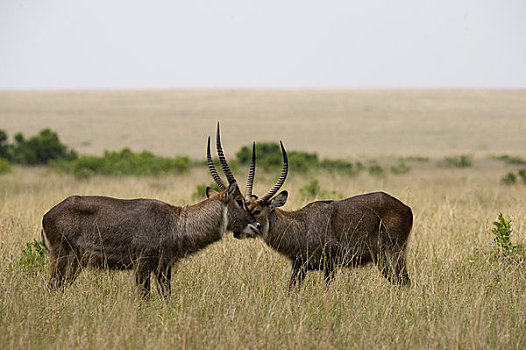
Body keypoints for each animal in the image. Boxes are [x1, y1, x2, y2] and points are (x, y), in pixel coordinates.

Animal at [42, 131, 260, 298]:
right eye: (239, 201)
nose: (256, 226)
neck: (176, 222)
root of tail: (47, 215)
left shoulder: (164, 268)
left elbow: (167, 295)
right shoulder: (143, 265)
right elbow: (144, 297)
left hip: (74, 264)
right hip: (62, 259)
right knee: (52, 288)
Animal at [208, 138, 414, 288]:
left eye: (257, 210)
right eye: (243, 206)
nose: (238, 232)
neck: (300, 225)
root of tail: (406, 208)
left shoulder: (330, 265)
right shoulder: (299, 267)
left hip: (395, 254)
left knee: (405, 282)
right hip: (383, 260)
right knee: (400, 283)